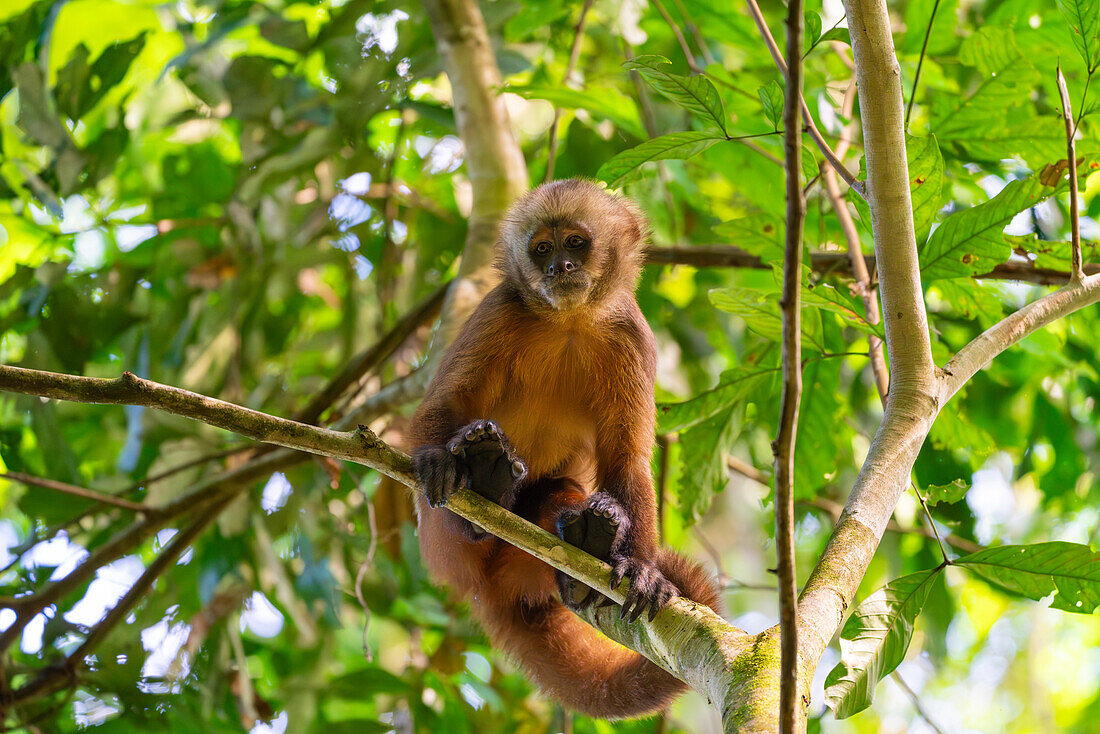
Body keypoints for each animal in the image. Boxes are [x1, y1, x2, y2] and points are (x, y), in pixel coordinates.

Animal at [409, 180, 717, 721]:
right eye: (541, 250)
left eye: (575, 243)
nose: (559, 268)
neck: (568, 322)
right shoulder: (500, 308)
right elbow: (446, 402)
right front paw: (436, 458)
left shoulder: (631, 334)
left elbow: (626, 459)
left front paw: (643, 569)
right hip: (440, 547)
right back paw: (482, 485)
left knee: (563, 489)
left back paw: (585, 547)